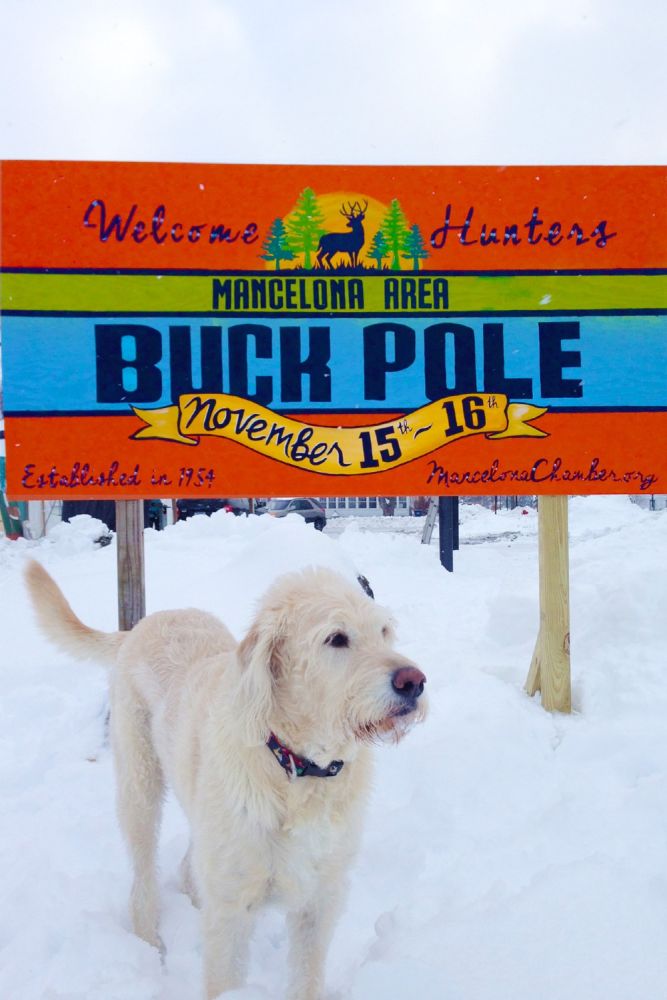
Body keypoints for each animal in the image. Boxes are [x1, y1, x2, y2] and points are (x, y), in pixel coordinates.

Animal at [25, 560, 427, 1000]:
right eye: (336, 638)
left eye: (384, 631)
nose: (414, 681)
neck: (297, 767)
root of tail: (141, 625)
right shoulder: (232, 910)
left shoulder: (319, 901)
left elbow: (307, 977)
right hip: (139, 788)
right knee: (143, 880)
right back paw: (149, 943)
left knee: (188, 867)